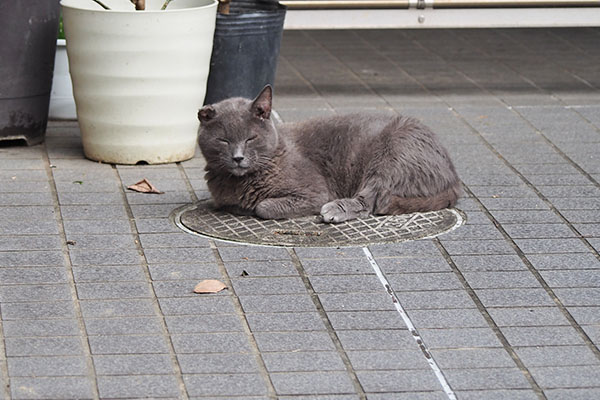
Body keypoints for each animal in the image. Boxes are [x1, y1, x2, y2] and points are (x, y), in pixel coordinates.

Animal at [197, 86, 460, 223]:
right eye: (223, 140)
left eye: (250, 138)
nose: (238, 157)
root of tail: (453, 177)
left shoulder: (313, 192)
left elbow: (263, 207)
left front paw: (253, 206)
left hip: (389, 156)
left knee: (372, 200)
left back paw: (334, 210)